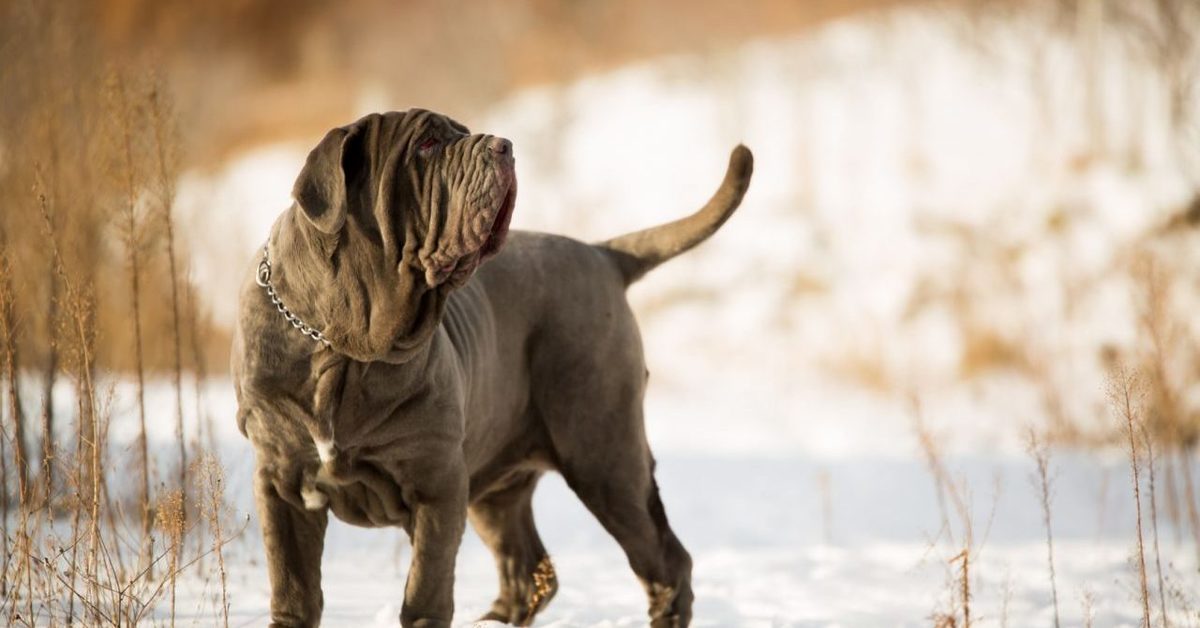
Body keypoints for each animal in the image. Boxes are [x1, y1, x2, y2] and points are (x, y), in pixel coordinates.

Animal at [230, 110, 753, 624]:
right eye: (426, 146)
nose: (503, 145)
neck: (344, 344)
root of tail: (602, 254)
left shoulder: (438, 485)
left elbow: (425, 590)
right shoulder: (281, 483)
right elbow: (293, 588)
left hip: (605, 455)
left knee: (665, 561)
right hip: (499, 484)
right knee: (528, 568)